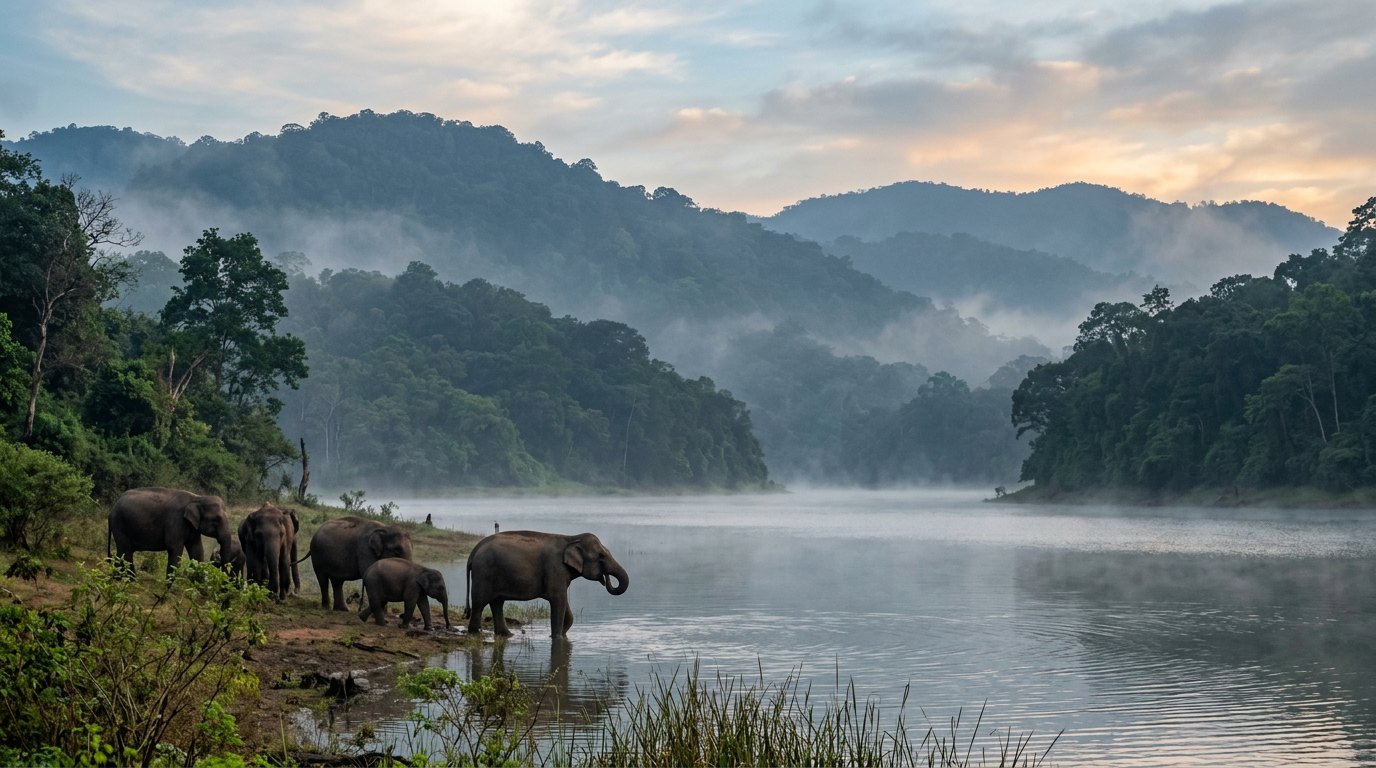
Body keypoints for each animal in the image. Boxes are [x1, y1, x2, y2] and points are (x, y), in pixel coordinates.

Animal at [465, 530, 628, 637]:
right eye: (601, 556)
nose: (605, 579)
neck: (571, 538)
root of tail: (474, 550)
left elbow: (564, 604)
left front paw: (562, 635)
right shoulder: (555, 569)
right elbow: (558, 601)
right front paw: (556, 638)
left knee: (497, 603)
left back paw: (507, 635)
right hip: (483, 573)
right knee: (480, 603)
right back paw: (475, 633)